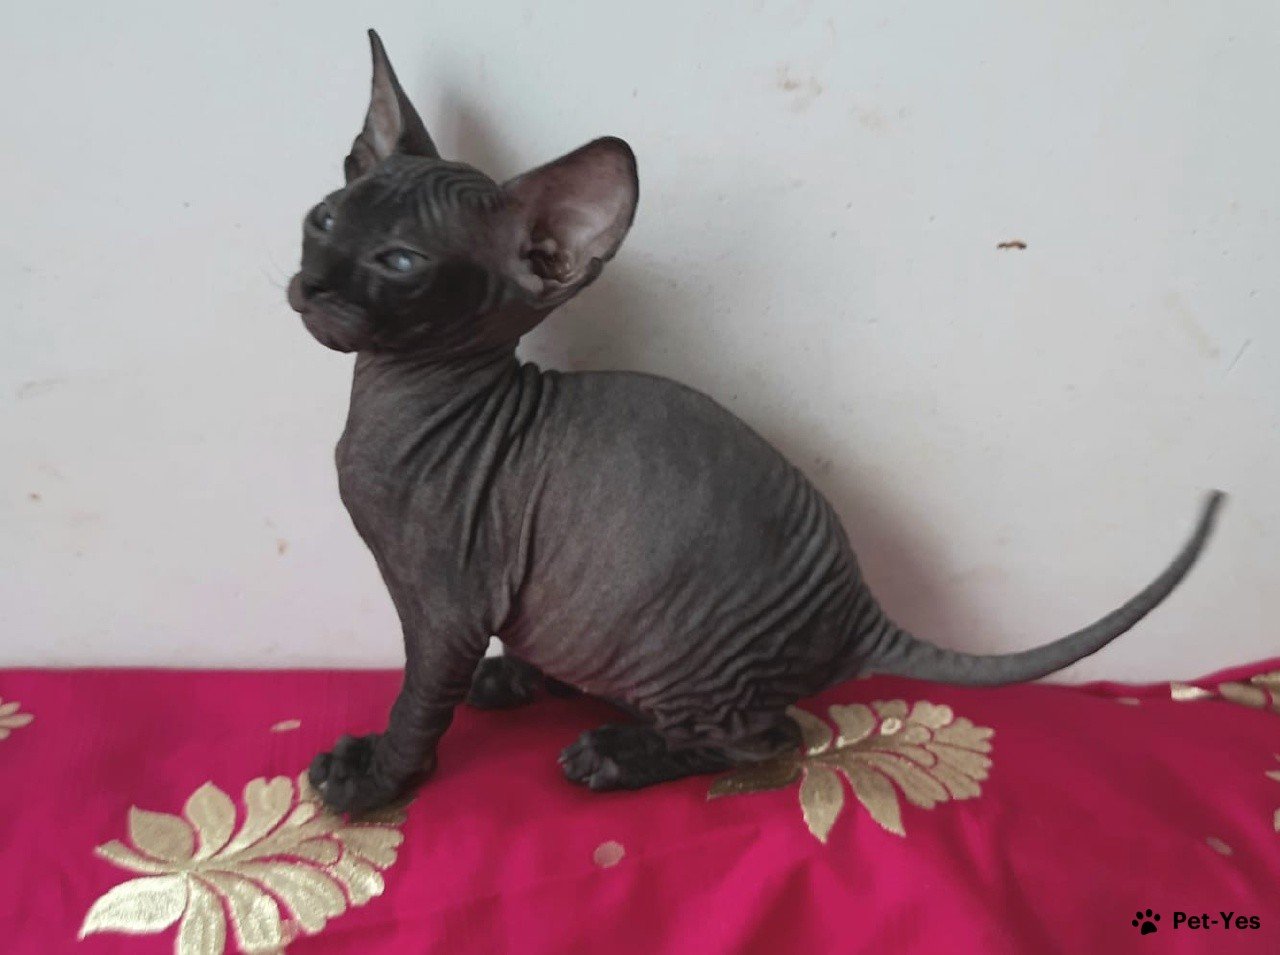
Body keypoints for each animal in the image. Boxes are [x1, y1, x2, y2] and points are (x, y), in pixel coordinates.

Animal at [290, 31, 1224, 812]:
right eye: (324, 219)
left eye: (400, 262)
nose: (313, 282)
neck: (400, 397)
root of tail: (859, 610)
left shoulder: (445, 605)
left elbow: (418, 699)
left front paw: (377, 777)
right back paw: (523, 679)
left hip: (689, 656)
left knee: (769, 735)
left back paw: (615, 754)